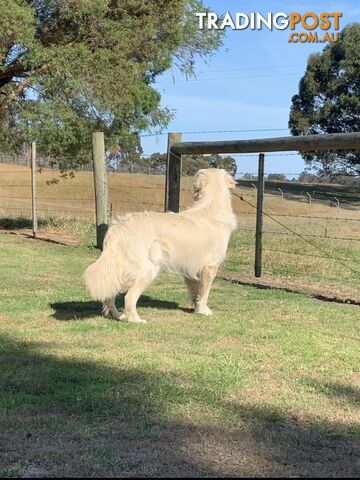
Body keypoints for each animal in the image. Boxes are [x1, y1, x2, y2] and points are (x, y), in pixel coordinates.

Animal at [83, 168, 238, 322]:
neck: (211, 205)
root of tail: (119, 226)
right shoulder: (210, 267)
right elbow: (204, 292)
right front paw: (204, 311)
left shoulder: (190, 268)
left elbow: (196, 293)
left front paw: (196, 309)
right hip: (148, 269)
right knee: (129, 297)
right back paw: (136, 320)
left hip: (119, 269)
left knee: (109, 295)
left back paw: (118, 315)